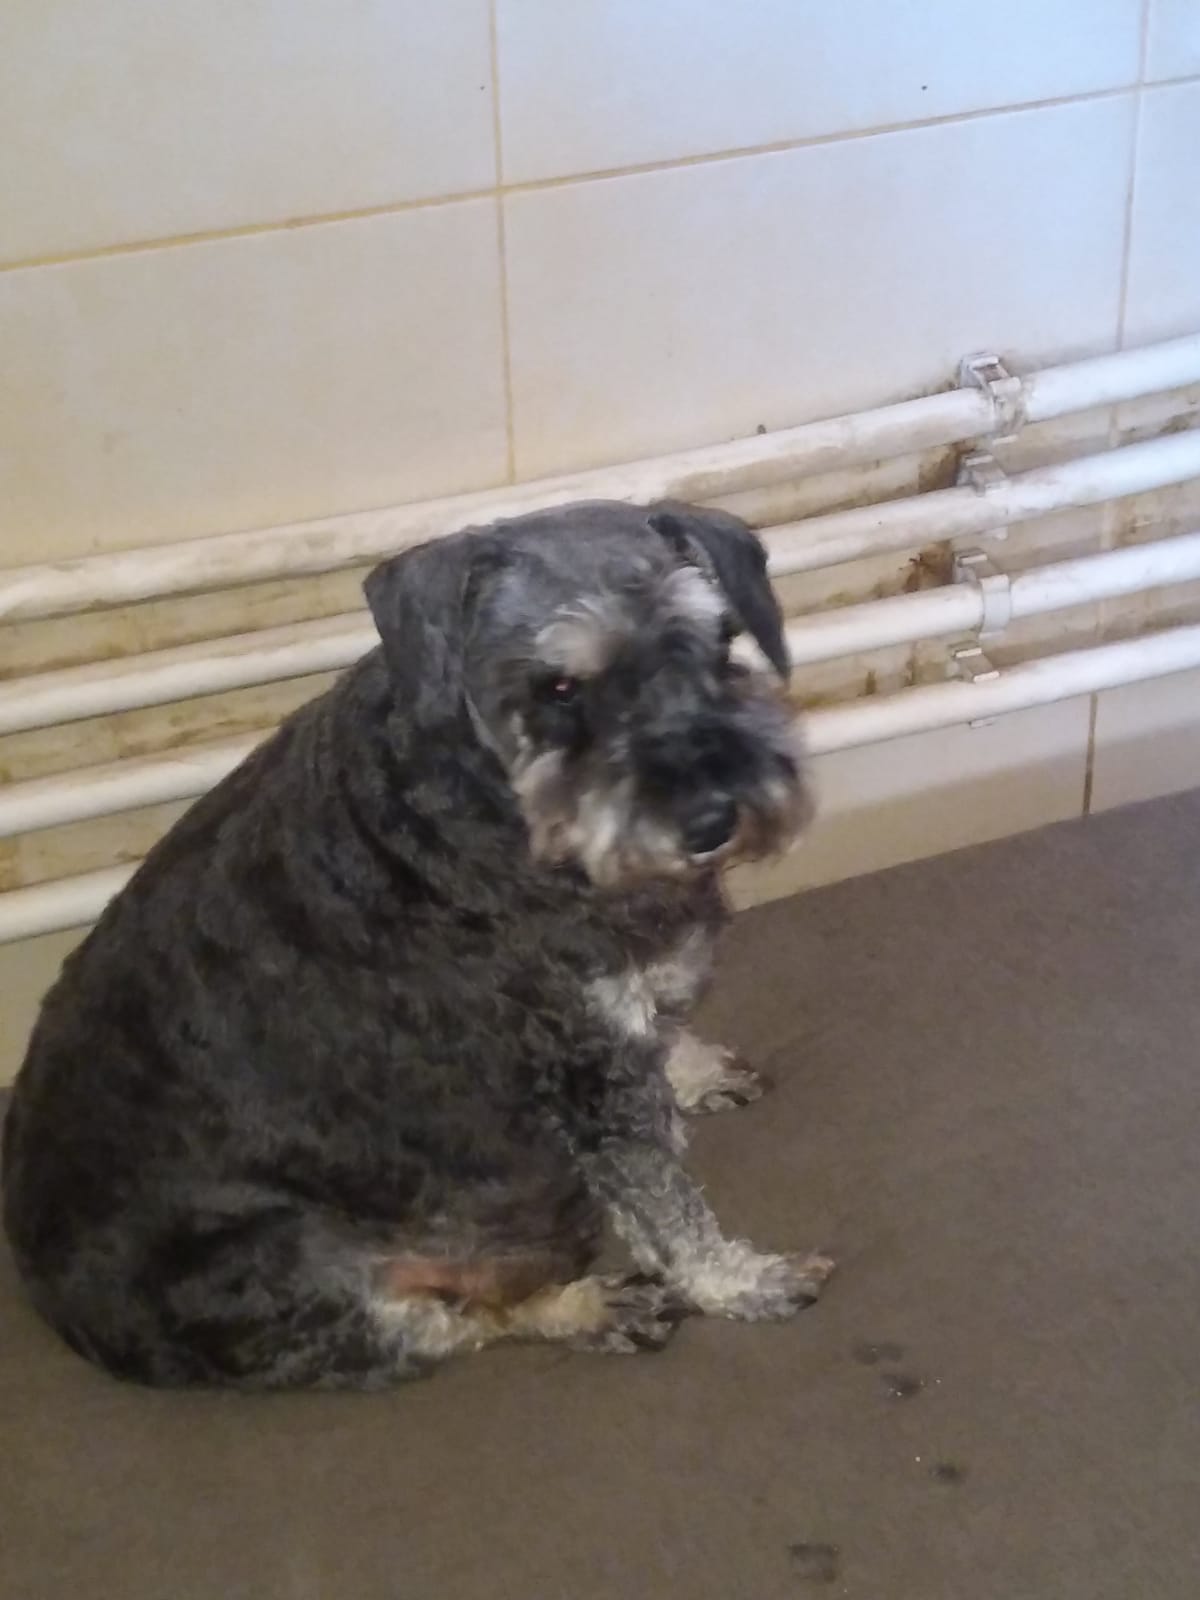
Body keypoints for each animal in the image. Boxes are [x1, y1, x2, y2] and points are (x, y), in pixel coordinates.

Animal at [1, 500, 833, 1389]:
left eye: (717, 641)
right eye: (559, 685)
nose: (714, 820)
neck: (494, 803)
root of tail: (58, 1310)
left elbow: (664, 1040)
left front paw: (696, 1070)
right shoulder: (585, 1072)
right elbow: (666, 1206)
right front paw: (742, 1281)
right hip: (303, 1274)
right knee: (458, 1324)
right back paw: (591, 1307)